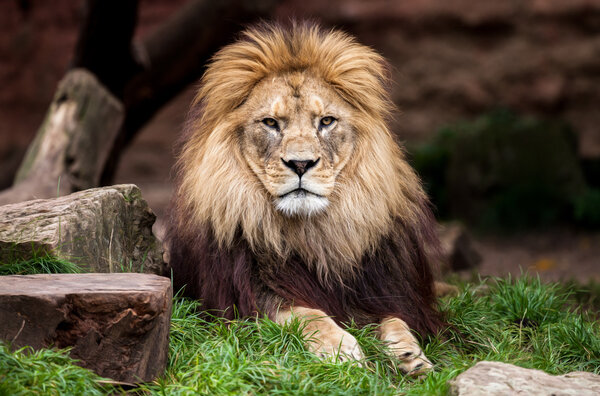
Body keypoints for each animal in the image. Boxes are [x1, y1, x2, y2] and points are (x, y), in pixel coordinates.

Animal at [166, 21, 442, 374]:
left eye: (326, 121)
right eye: (271, 122)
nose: (300, 164)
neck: (316, 234)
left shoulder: (379, 293)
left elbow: (394, 319)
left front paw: (411, 355)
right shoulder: (249, 300)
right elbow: (308, 315)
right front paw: (342, 350)